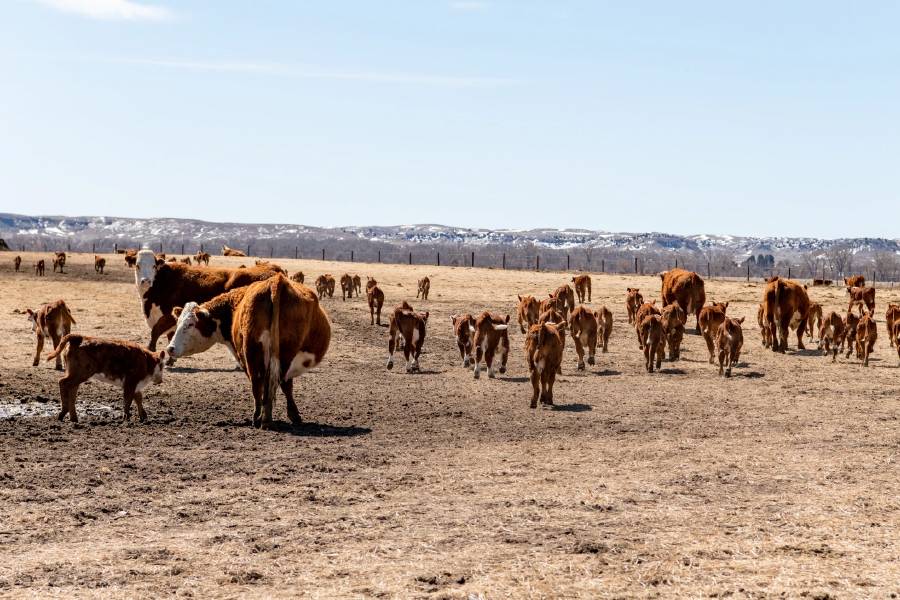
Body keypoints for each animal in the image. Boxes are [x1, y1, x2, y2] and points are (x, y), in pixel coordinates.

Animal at [165, 274, 330, 428]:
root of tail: (276, 282)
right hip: (275, 352)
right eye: (178, 323)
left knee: (260, 383)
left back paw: (261, 418)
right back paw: (264, 419)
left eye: (190, 324)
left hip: (254, 353)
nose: (170, 348)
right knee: (268, 383)